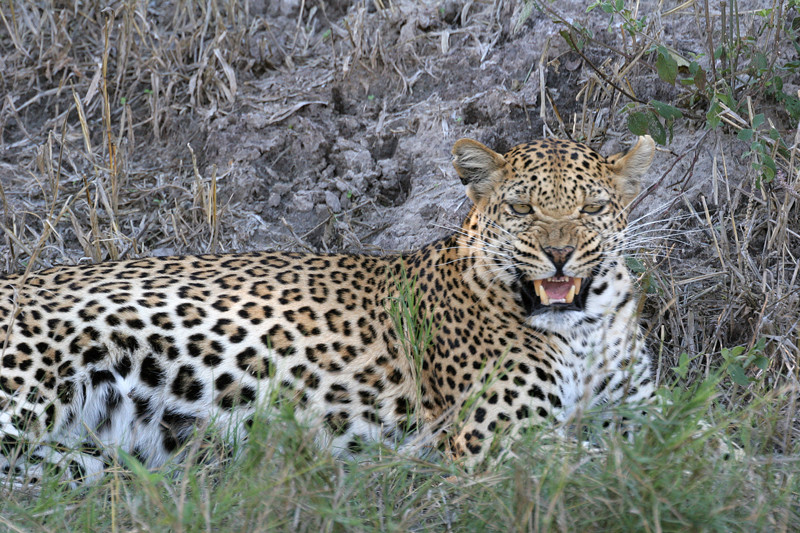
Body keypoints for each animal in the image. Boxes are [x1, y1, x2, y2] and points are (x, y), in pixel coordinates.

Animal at [0, 133, 656, 482]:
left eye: (593, 208)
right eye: (522, 209)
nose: (559, 253)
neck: (582, 328)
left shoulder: (637, 409)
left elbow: (668, 441)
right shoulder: (502, 436)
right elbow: (619, 462)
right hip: (26, 391)